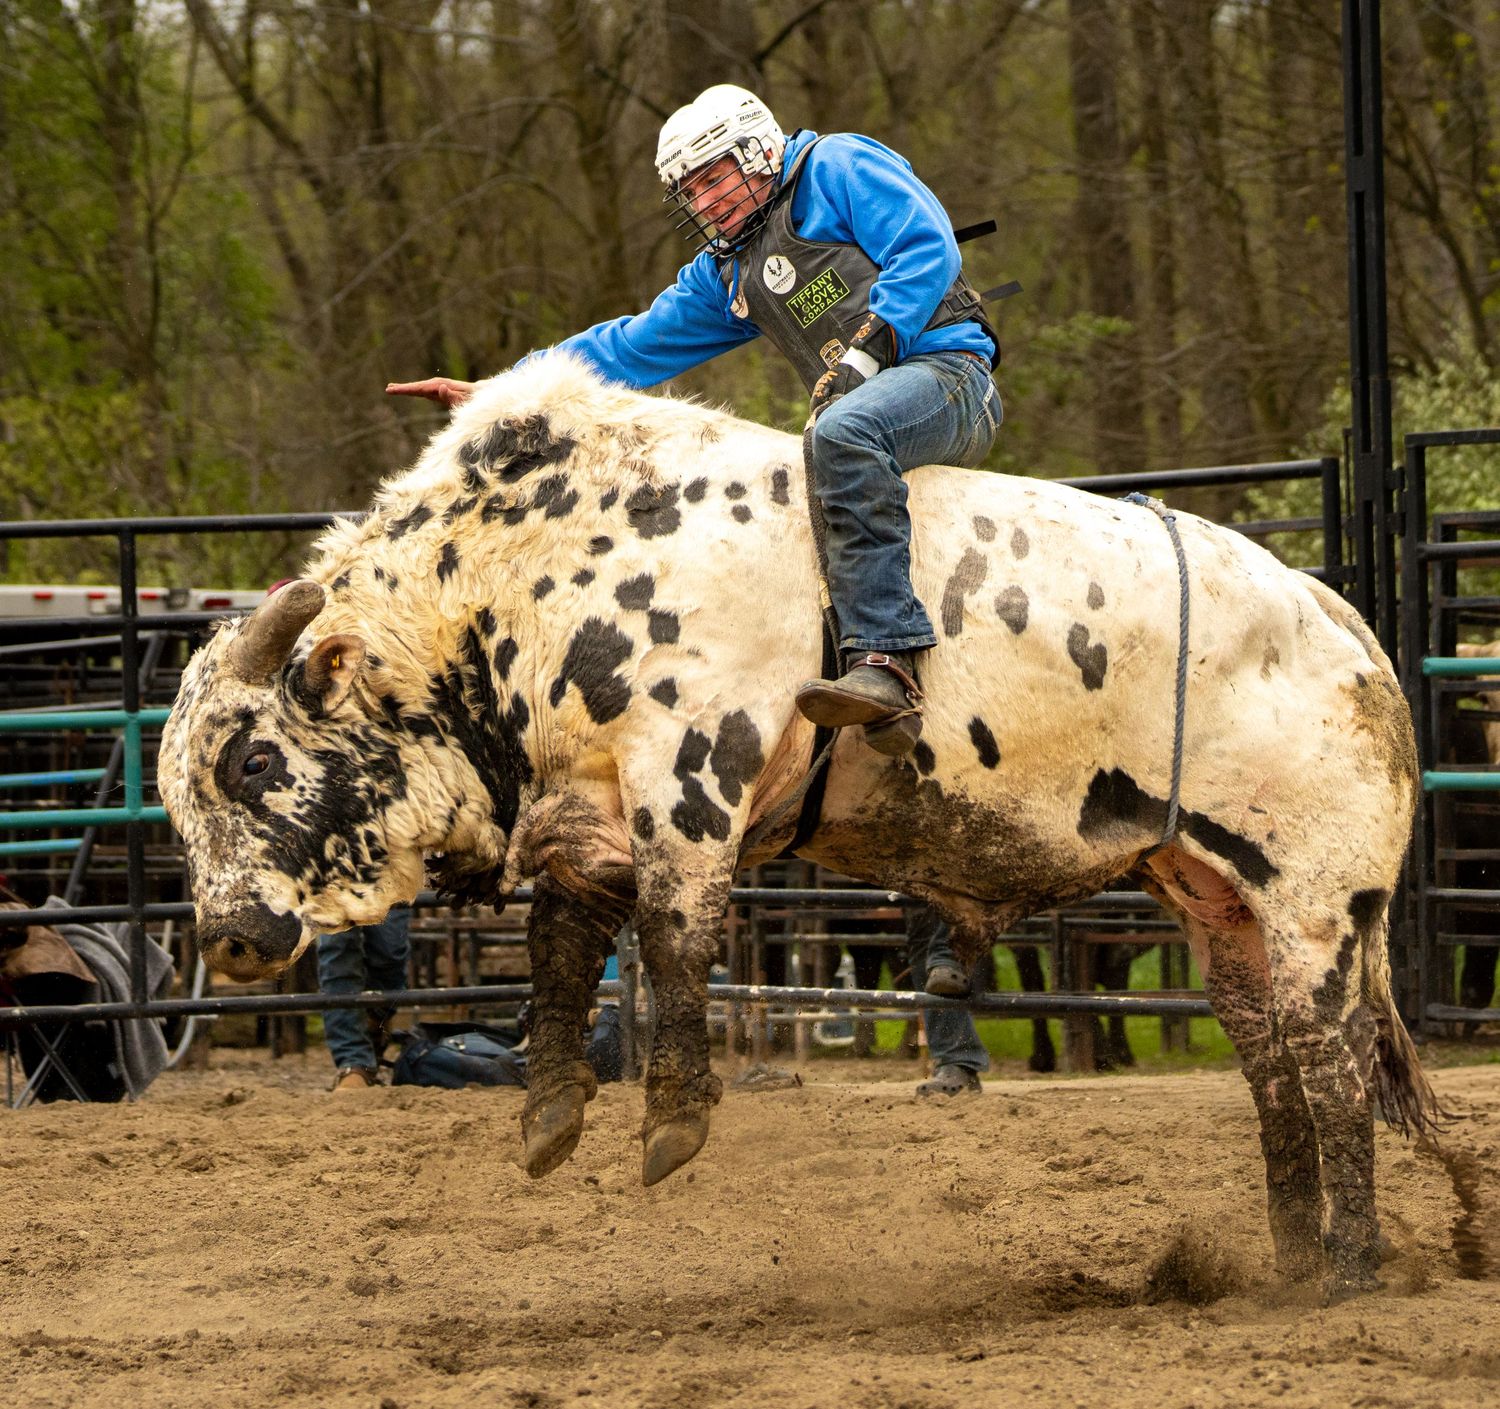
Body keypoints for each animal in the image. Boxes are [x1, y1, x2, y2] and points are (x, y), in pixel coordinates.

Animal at [158, 353, 1439, 1297]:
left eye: (252, 757)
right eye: (176, 797)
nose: (224, 934)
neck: (520, 580)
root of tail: (1344, 626)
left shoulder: (688, 777)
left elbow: (673, 934)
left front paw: (673, 1120)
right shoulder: (587, 807)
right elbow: (563, 947)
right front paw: (550, 1112)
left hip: (1321, 905)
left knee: (1330, 1065)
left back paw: (1351, 1268)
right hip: (1216, 899)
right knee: (1270, 1067)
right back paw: (1288, 1261)